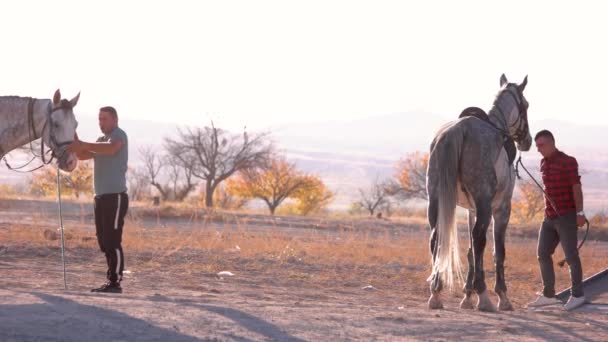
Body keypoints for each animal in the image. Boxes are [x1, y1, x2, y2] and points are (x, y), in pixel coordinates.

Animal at [426, 73, 528, 312]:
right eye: (526, 106)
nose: (527, 141)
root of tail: (459, 130)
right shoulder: (500, 208)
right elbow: (497, 250)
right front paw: (501, 296)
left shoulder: (471, 209)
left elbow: (472, 251)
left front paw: (467, 295)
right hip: (484, 204)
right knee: (480, 239)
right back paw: (484, 297)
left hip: (435, 199)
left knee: (436, 237)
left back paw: (436, 293)